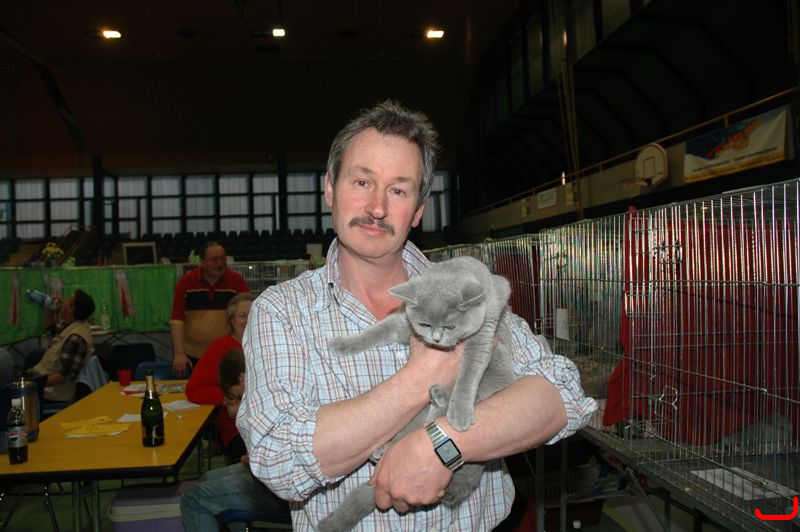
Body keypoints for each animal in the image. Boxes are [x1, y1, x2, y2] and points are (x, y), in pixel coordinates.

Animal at [318, 256, 517, 532]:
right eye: (424, 323)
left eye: (450, 325)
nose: (436, 338)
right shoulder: (404, 322)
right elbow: (377, 330)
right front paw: (342, 343)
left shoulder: (484, 334)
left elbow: (469, 373)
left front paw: (459, 413)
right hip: (411, 415)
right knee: (407, 431)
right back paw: (383, 449)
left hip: (498, 374)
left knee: (463, 395)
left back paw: (442, 399)